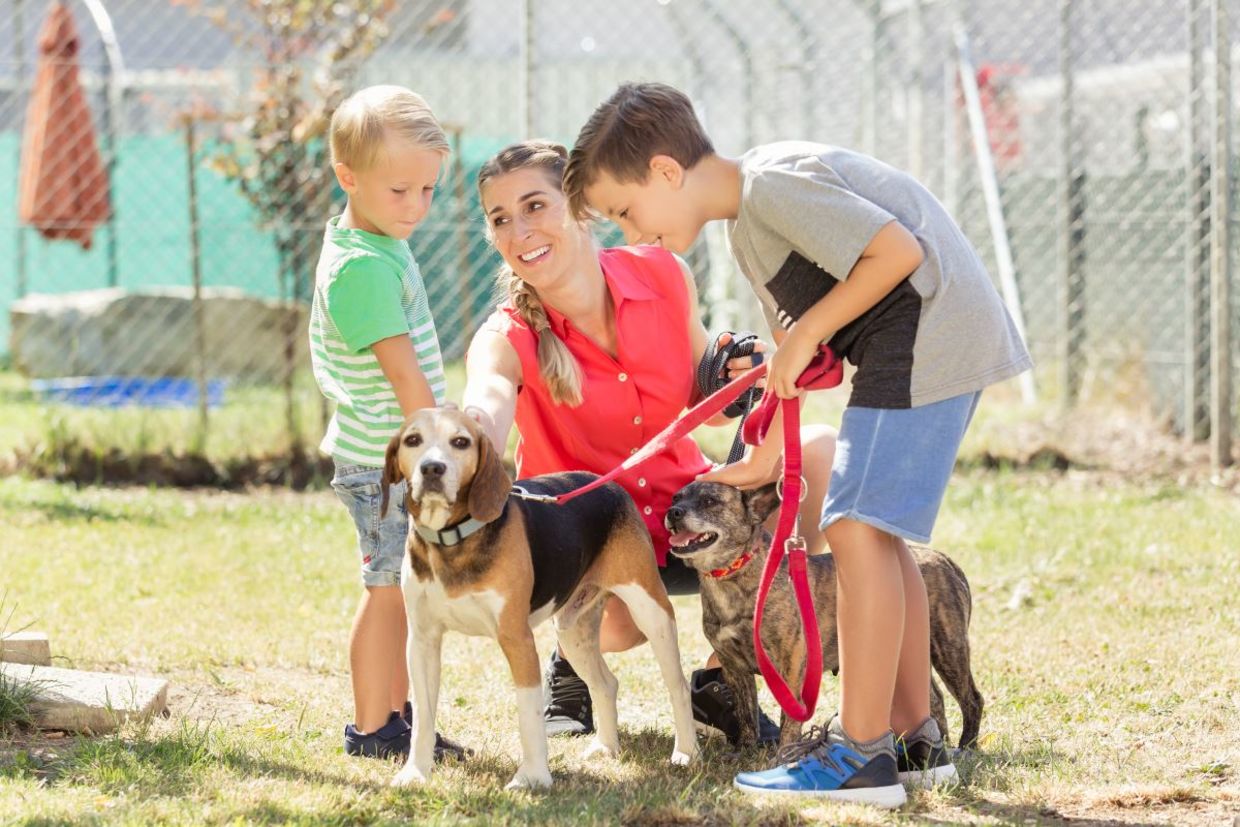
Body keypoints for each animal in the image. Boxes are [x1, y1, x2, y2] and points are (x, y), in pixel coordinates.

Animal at [664, 476, 982, 753]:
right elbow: (746, 714)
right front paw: (744, 751)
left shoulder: (791, 667)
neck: (733, 574)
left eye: (710, 501)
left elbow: (790, 719)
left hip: (948, 650)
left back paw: (966, 748)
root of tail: (942, 558)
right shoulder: (734, 668)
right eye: (676, 498)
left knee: (972, 699)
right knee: (935, 699)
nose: (673, 512)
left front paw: (783, 755)